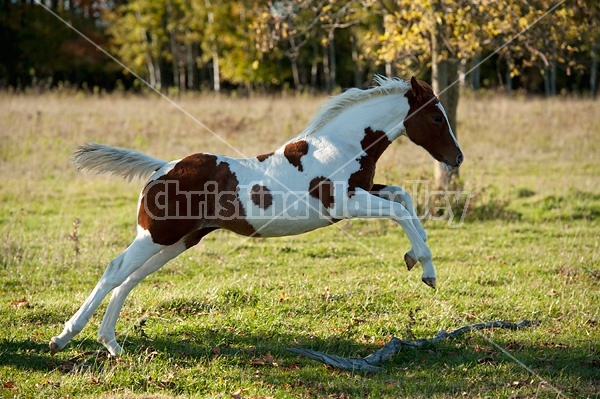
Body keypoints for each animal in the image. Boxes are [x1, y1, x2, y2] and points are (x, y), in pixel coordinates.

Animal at [51, 76, 464, 356]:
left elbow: (403, 197)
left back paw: (111, 344)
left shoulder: (364, 191)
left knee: (131, 278)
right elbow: (399, 210)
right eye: (436, 117)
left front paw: (418, 259)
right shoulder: (343, 205)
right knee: (114, 270)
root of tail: (161, 168)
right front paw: (425, 267)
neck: (341, 147)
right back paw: (63, 337)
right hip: (155, 235)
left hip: (179, 240)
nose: (457, 158)